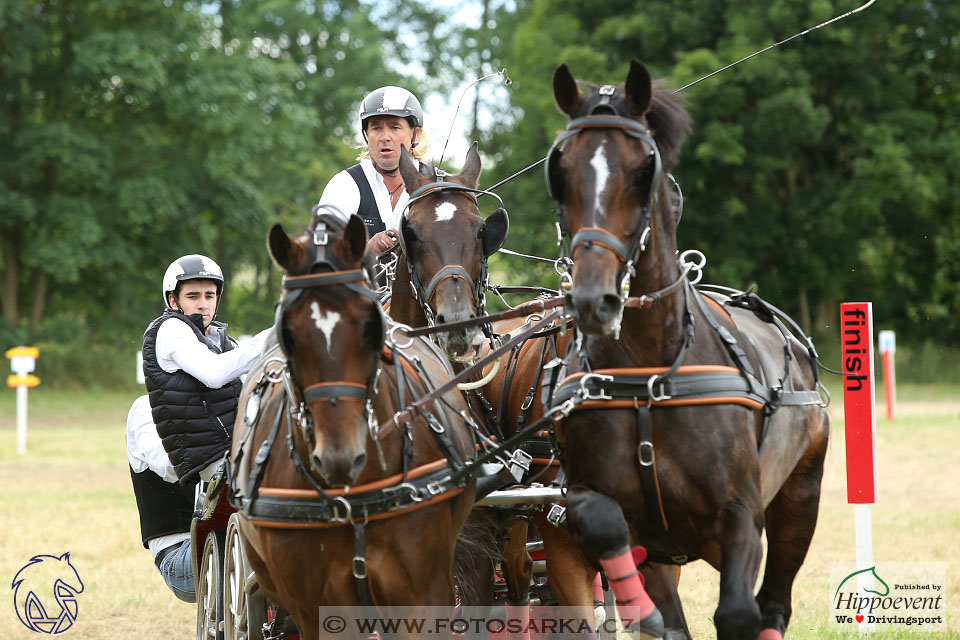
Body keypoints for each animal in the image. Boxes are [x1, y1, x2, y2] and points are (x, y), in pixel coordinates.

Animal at [548, 61, 832, 640]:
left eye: (643, 172)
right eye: (560, 174)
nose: (592, 299)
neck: (650, 375)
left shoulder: (740, 513)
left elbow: (738, 612)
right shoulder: (592, 498)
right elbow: (604, 525)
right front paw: (642, 611)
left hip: (800, 497)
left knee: (773, 604)